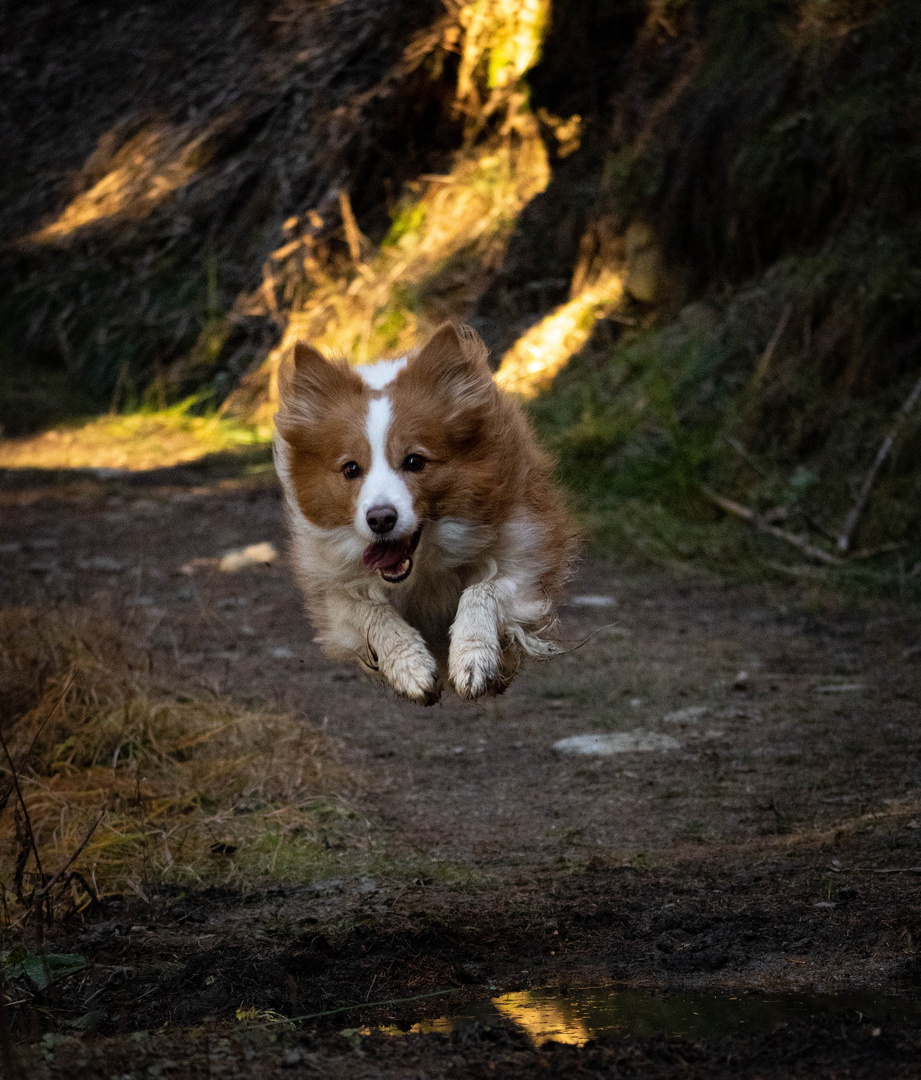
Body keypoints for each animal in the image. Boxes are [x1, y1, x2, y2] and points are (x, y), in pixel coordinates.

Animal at [271, 324, 574, 704]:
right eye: (351, 468)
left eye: (415, 461)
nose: (380, 519)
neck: (424, 567)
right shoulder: (331, 585)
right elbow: (368, 609)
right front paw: (410, 666)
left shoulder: (527, 553)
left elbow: (485, 589)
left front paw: (473, 658)